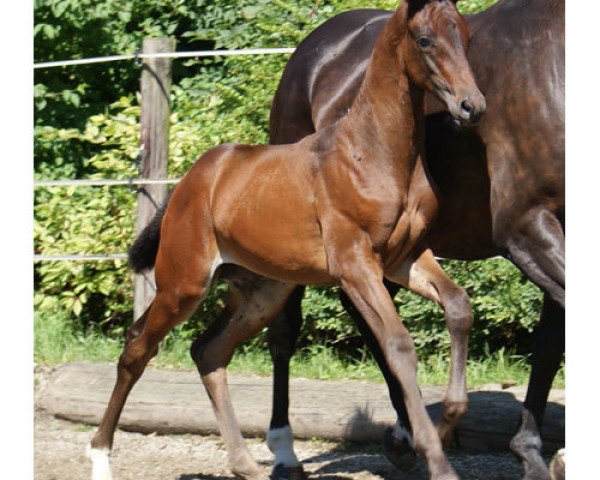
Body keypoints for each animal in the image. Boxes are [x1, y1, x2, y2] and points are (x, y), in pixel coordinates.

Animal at [86, 1, 486, 478]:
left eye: (464, 35)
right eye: (424, 39)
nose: (472, 106)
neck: (376, 152)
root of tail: (192, 179)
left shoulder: (403, 258)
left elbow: (459, 306)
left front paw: (442, 424)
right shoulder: (355, 266)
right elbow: (398, 346)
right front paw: (433, 456)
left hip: (262, 293)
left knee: (208, 351)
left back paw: (246, 464)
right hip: (183, 284)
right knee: (137, 347)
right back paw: (100, 456)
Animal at [264, 0, 564, 480]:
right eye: (424, 40)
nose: (471, 107)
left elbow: (551, 342)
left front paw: (531, 452)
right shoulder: (526, 226)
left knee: (369, 316)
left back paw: (406, 435)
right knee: (285, 331)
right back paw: (285, 452)